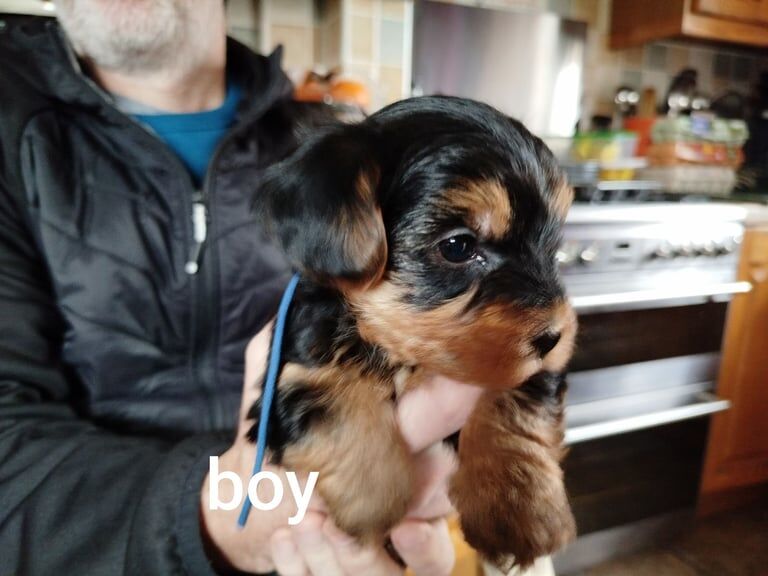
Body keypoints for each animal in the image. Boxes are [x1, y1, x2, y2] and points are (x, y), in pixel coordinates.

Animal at [249, 97, 580, 568]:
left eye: (553, 247)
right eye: (458, 246)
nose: (554, 336)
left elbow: (515, 401)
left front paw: (515, 508)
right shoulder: (293, 360)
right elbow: (325, 392)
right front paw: (371, 500)